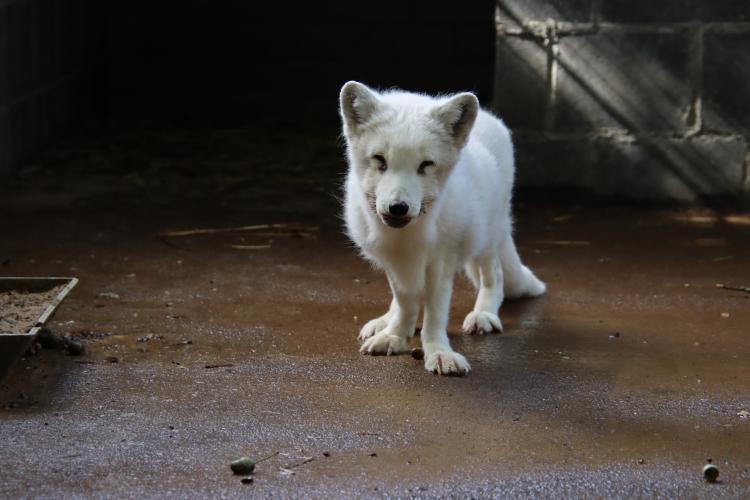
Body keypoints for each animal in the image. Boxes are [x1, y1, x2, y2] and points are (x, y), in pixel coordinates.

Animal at [340, 80, 548, 376]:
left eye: (425, 165)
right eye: (380, 160)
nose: (398, 207)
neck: (408, 236)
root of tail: (490, 118)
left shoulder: (442, 262)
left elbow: (435, 314)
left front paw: (438, 352)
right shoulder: (395, 261)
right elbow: (405, 301)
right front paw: (395, 335)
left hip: (487, 237)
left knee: (495, 275)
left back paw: (484, 314)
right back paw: (385, 321)